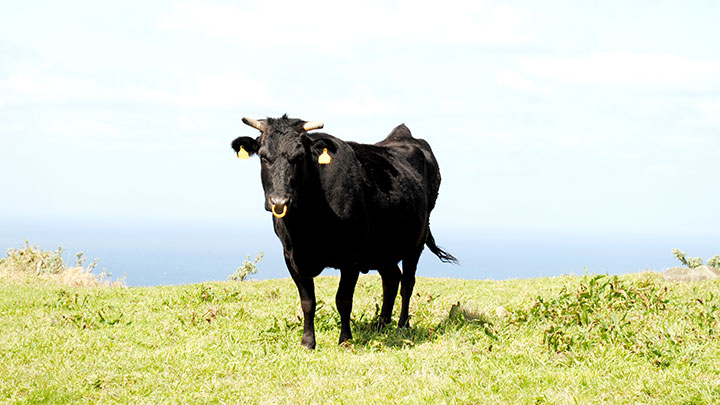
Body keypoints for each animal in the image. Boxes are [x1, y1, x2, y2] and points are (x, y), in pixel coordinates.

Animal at [231, 113, 456, 348]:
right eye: (263, 156)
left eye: (300, 156)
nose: (279, 201)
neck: (306, 227)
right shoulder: (291, 256)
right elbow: (307, 301)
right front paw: (308, 342)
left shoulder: (352, 256)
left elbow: (344, 299)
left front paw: (345, 340)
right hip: (383, 247)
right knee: (392, 279)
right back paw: (381, 324)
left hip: (417, 240)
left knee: (407, 283)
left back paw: (403, 325)